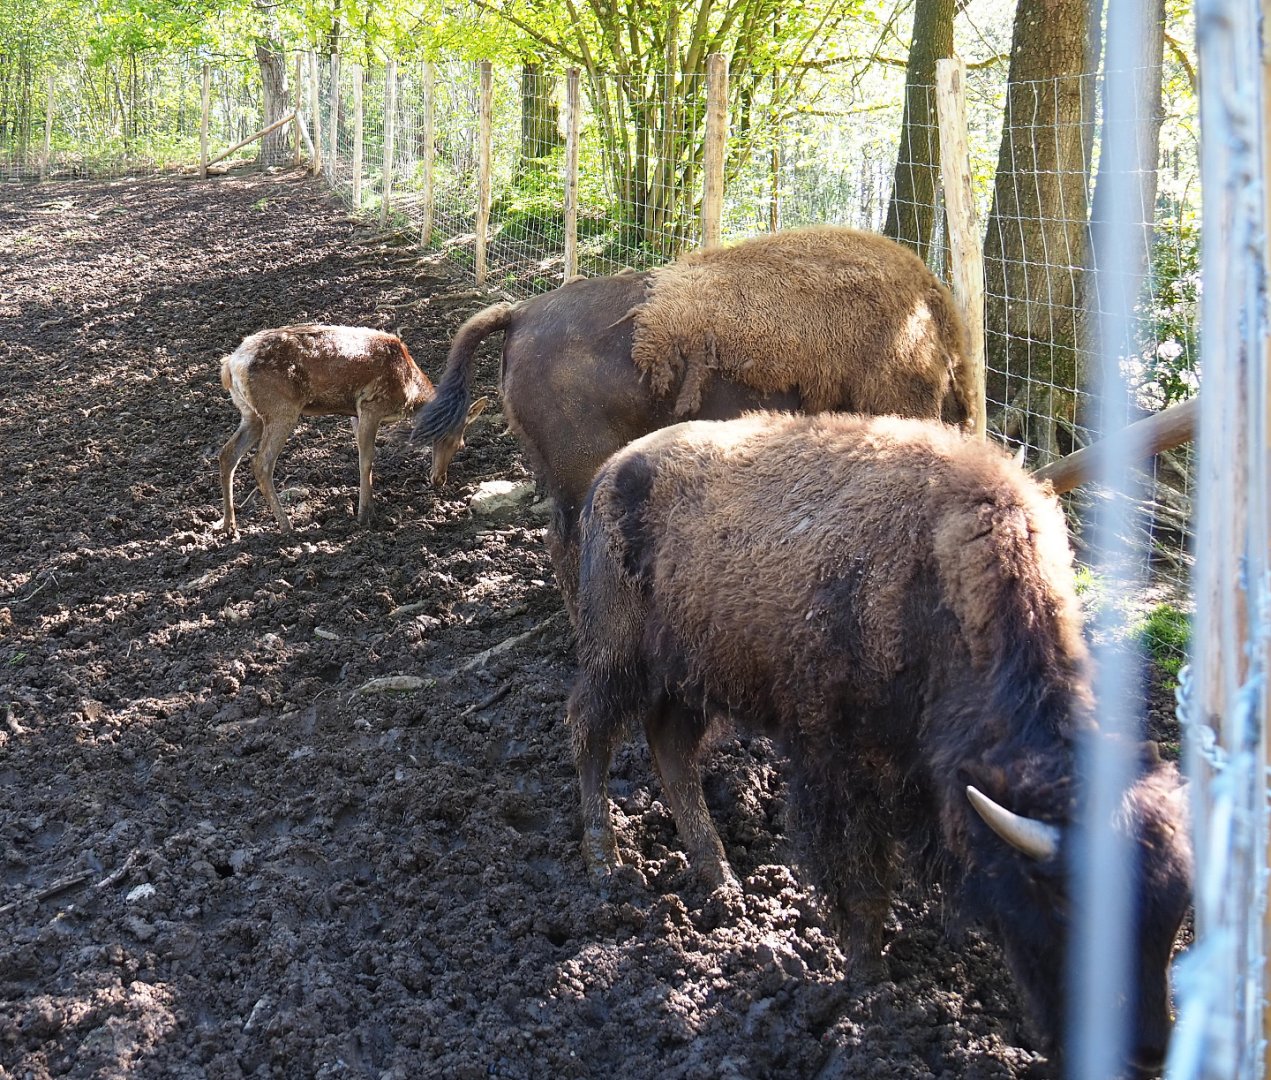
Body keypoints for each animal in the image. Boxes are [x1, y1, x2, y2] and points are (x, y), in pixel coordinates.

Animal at [214, 324, 488, 535]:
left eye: (460, 445)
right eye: (445, 439)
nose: (440, 479)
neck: (409, 392)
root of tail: (229, 366)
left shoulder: (355, 416)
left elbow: (362, 458)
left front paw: (369, 509)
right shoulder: (371, 405)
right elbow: (367, 460)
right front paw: (364, 515)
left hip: (251, 414)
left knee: (227, 453)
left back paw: (229, 526)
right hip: (281, 409)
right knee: (261, 463)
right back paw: (286, 526)